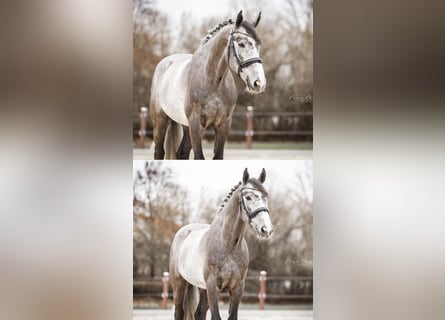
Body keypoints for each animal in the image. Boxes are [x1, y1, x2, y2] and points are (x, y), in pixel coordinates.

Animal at [149, 10, 268, 159]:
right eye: (241, 44)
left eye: (259, 45)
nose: (259, 83)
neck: (212, 82)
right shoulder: (196, 125)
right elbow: (199, 156)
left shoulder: (223, 125)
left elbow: (218, 156)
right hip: (160, 121)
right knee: (159, 152)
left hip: (185, 126)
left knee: (182, 153)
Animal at [168, 169, 272, 318]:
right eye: (248, 197)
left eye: (265, 197)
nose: (266, 229)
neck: (228, 245)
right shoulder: (213, 287)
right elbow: (216, 316)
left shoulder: (237, 288)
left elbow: (232, 316)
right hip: (179, 285)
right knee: (179, 312)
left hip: (202, 288)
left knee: (199, 313)